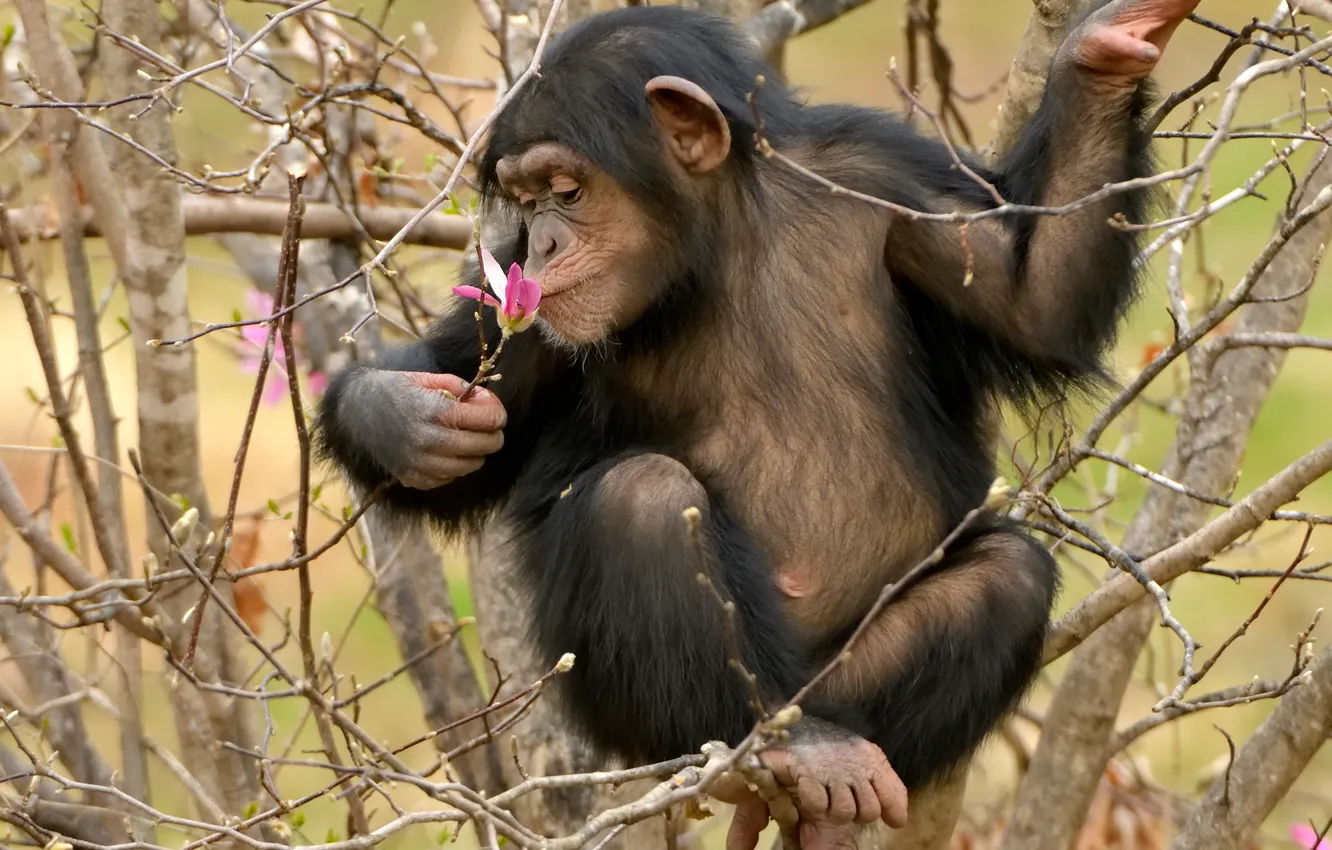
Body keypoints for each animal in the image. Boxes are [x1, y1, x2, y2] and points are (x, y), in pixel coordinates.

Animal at [315, 1, 1197, 846]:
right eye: (525, 201)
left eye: (566, 189)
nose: (546, 241)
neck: (718, 240)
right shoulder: (516, 292)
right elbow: (478, 401)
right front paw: (400, 415)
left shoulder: (886, 179)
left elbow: (1032, 296)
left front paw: (1102, 55)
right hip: (642, 718)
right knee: (642, 498)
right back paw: (784, 755)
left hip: (838, 679)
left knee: (1007, 577)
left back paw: (820, 782)